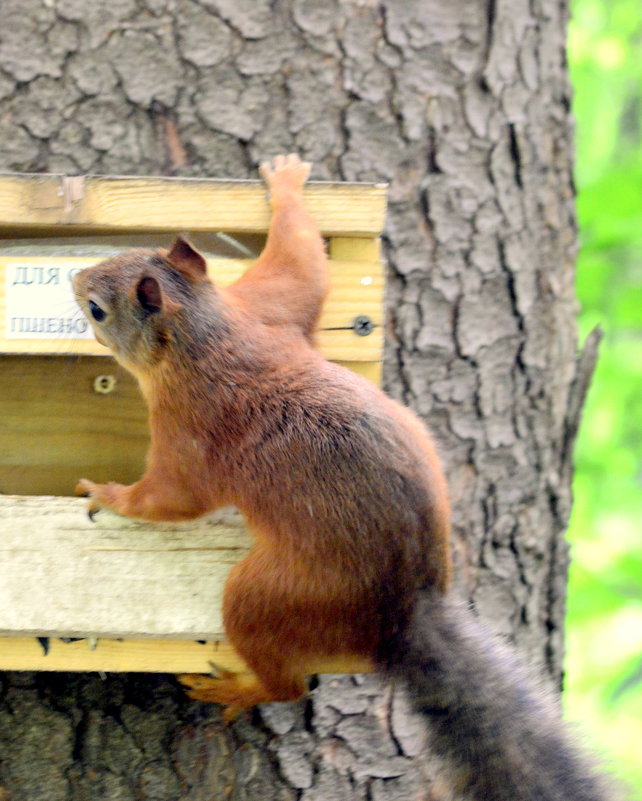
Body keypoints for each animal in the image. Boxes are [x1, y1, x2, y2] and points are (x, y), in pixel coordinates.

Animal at [75, 153, 616, 796]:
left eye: (98, 309)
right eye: (128, 252)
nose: (74, 278)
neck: (205, 335)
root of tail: (403, 612)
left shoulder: (189, 427)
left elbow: (171, 498)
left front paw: (106, 494)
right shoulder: (267, 310)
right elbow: (299, 268)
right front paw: (286, 184)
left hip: (272, 597)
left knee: (286, 680)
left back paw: (235, 690)